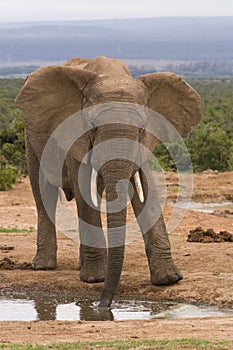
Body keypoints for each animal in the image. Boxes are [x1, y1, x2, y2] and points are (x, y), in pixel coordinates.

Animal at [15, 56, 203, 308]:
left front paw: (169, 279)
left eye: (142, 127)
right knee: (43, 191)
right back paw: (44, 266)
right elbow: (84, 189)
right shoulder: (76, 136)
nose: (102, 304)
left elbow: (146, 189)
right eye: (93, 127)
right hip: (32, 137)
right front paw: (95, 279)